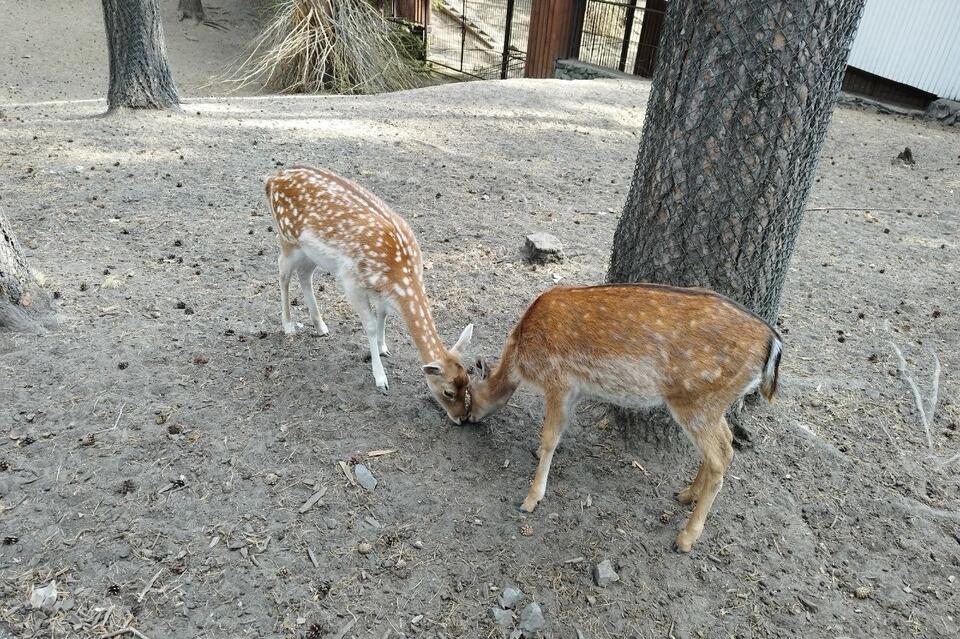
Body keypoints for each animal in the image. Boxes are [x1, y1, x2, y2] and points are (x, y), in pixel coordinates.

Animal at [264, 168, 474, 422]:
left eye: (468, 382)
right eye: (448, 391)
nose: (462, 418)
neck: (399, 278)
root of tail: (271, 180)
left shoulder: (380, 290)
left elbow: (383, 315)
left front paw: (384, 348)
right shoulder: (351, 281)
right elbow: (371, 325)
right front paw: (381, 379)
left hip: (310, 253)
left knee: (304, 275)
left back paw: (321, 326)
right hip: (287, 238)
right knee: (282, 273)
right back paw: (288, 325)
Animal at [468, 284, 784, 552]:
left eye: (470, 391)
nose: (469, 417)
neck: (521, 354)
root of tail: (774, 342)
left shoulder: (559, 382)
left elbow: (549, 437)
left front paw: (530, 499)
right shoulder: (576, 390)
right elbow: (560, 431)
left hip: (697, 402)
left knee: (722, 455)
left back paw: (685, 538)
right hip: (712, 405)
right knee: (726, 442)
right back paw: (686, 494)